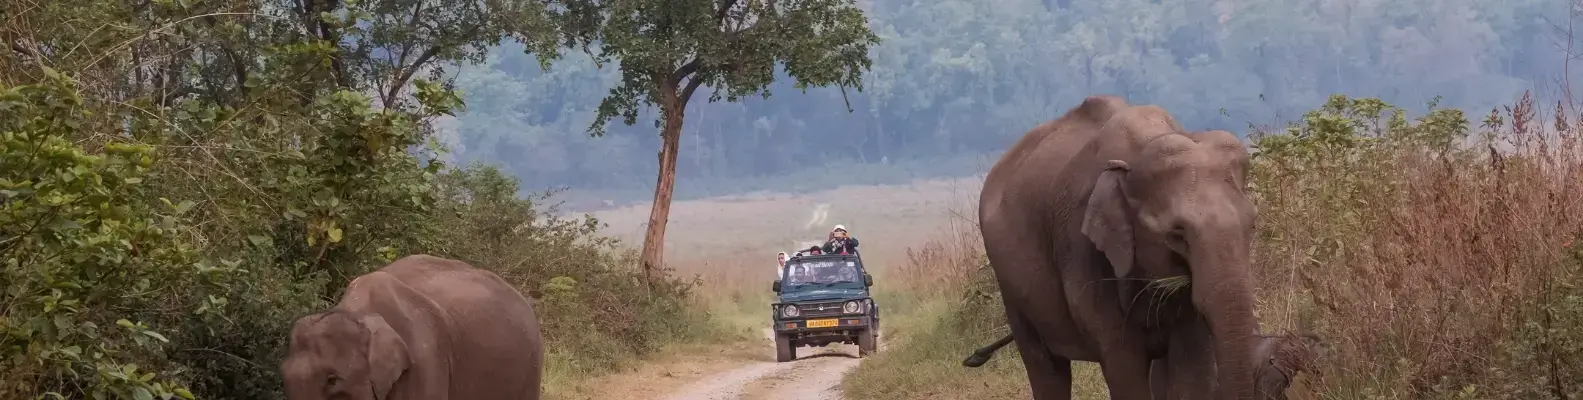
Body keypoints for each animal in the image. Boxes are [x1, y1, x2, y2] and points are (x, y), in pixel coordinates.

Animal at [976, 95, 1260, 399]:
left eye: (1252, 225)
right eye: (1176, 235)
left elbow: (1192, 368)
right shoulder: (1082, 249)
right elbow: (1124, 363)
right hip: (1011, 289)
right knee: (1045, 367)